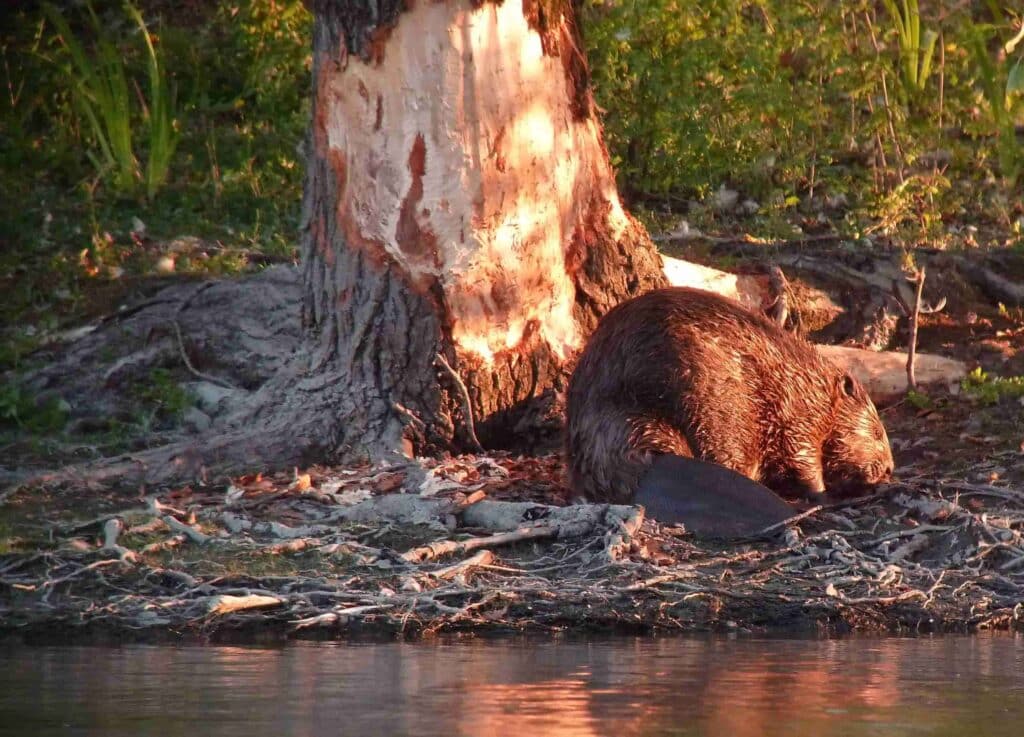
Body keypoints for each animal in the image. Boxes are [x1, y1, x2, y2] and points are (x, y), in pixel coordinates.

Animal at [565, 286, 892, 507]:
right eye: (877, 432)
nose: (889, 468)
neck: (811, 381)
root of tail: (652, 464)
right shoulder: (798, 415)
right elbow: (803, 458)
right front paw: (825, 494)